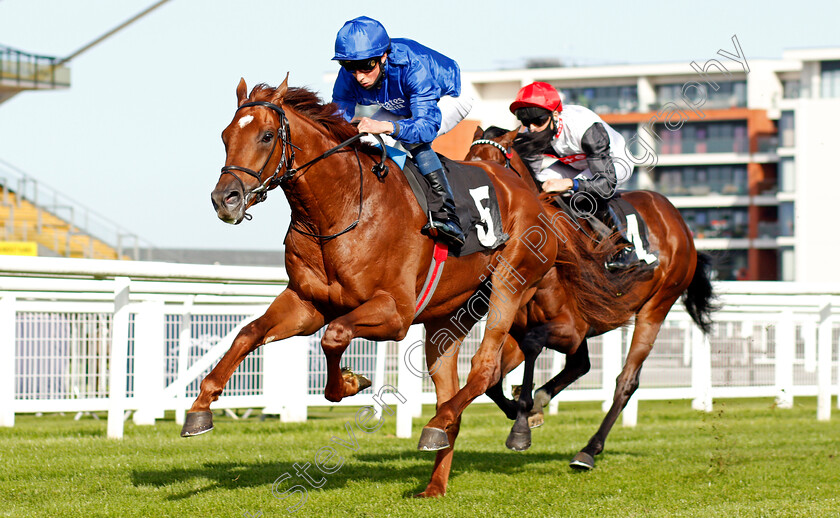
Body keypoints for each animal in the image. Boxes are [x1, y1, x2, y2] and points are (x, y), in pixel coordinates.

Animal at [179, 80, 556, 500]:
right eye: (225, 136)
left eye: (266, 136)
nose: (224, 199)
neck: (339, 211)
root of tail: (530, 193)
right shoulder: (306, 304)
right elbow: (249, 333)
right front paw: (199, 408)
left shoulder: (395, 313)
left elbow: (335, 335)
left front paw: (349, 382)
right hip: (447, 318)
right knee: (453, 391)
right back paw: (435, 476)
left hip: (512, 280)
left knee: (486, 366)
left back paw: (441, 426)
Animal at [466, 125, 716, 472]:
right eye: (466, 159)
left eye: (494, 167)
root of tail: (677, 220)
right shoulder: (521, 328)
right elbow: (492, 379)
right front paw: (523, 409)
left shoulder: (571, 329)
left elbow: (533, 344)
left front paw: (521, 425)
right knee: (581, 365)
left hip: (657, 306)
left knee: (626, 381)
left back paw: (588, 451)